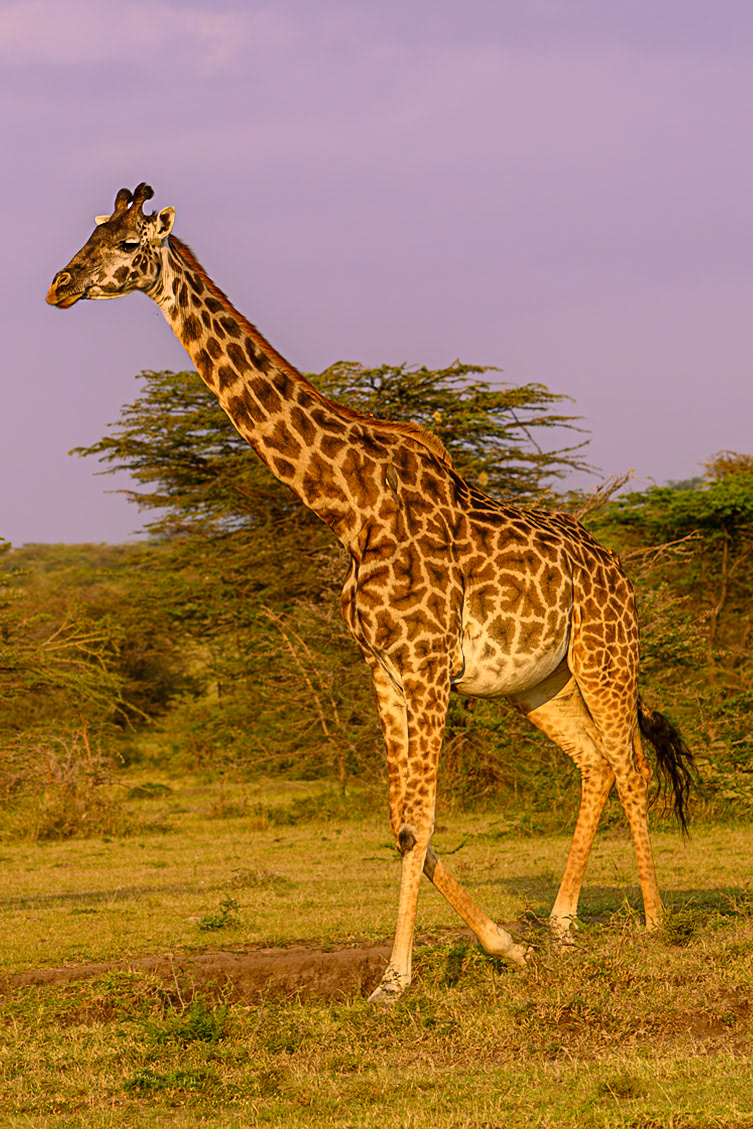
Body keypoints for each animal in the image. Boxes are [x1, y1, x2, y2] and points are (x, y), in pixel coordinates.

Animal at [47, 183, 694, 1003]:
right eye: (90, 233)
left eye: (130, 244)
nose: (59, 286)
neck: (350, 506)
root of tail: (615, 568)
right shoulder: (383, 670)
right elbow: (401, 823)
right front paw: (504, 947)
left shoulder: (425, 667)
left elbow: (418, 821)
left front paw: (393, 980)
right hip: (536, 683)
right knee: (596, 764)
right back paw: (562, 928)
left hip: (605, 657)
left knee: (631, 766)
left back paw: (653, 924)